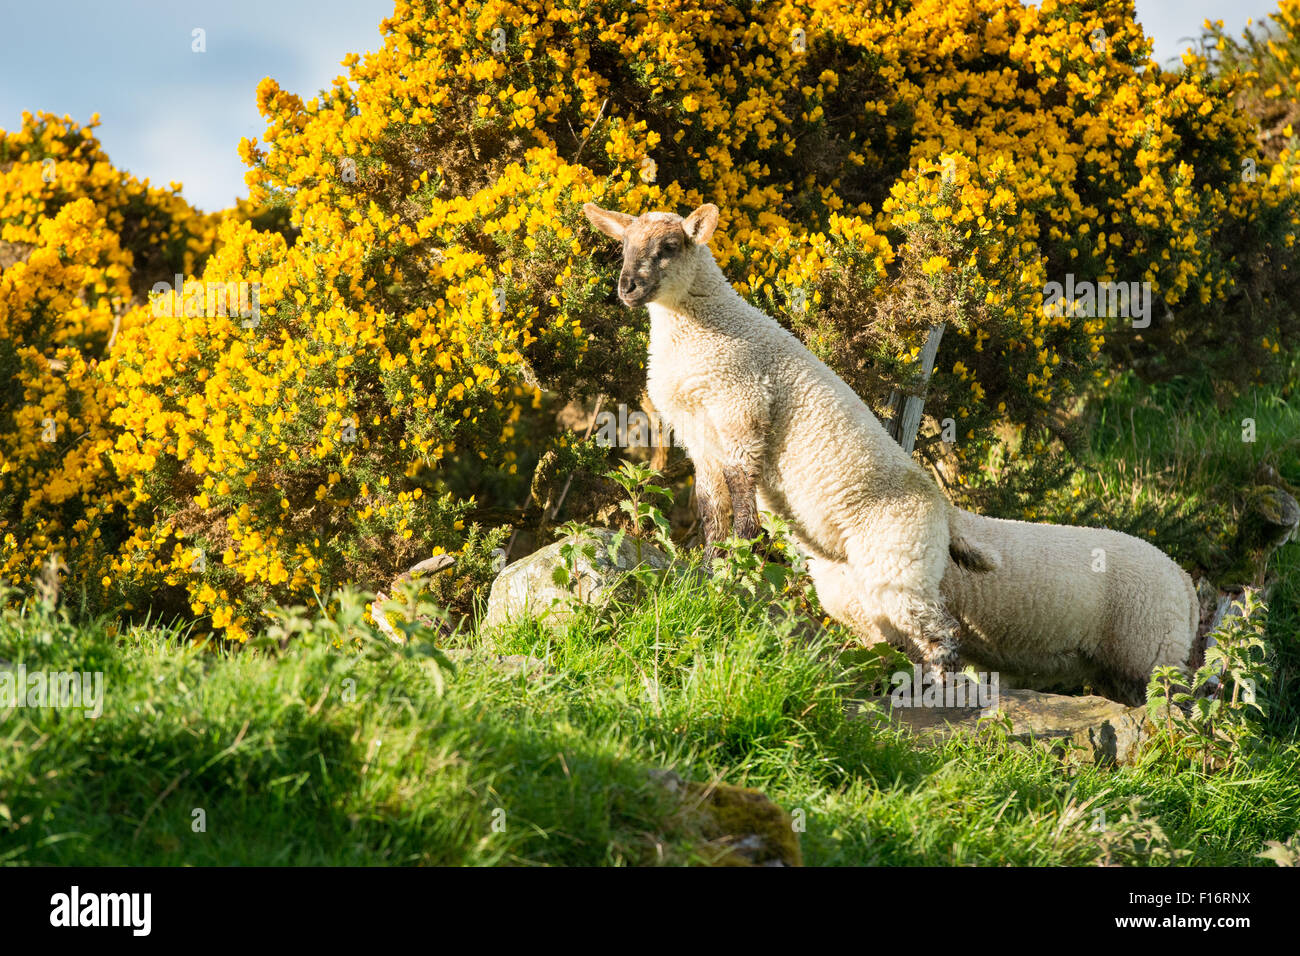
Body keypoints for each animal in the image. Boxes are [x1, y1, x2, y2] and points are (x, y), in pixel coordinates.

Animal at [582, 200, 993, 671]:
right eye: (624, 245)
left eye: (669, 247)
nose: (627, 288)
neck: (702, 324)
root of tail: (945, 510)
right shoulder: (700, 439)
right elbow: (711, 510)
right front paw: (710, 569)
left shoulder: (742, 411)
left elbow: (744, 508)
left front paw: (735, 572)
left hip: (900, 556)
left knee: (942, 630)